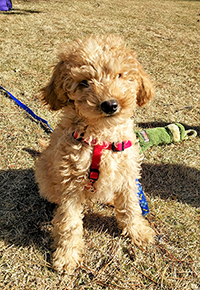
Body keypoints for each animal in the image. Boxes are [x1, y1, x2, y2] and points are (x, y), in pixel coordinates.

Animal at [35, 35, 155, 274]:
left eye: (120, 75)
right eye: (84, 82)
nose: (110, 105)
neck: (102, 138)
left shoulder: (128, 176)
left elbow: (131, 207)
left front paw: (138, 233)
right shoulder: (71, 184)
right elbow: (69, 223)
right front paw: (66, 256)